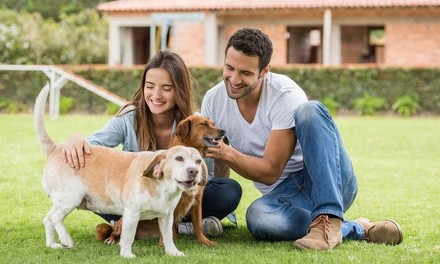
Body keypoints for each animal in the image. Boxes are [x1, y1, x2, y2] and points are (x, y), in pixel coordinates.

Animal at [34, 85, 206, 258]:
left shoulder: (166, 216)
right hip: (70, 198)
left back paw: (52, 244)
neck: (162, 187)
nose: (193, 171)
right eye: (179, 158)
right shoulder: (131, 214)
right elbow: (128, 237)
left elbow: (168, 237)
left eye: (198, 161)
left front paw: (173, 252)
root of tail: (56, 148)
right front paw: (126, 254)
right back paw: (66, 239)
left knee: (47, 220)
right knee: (54, 218)